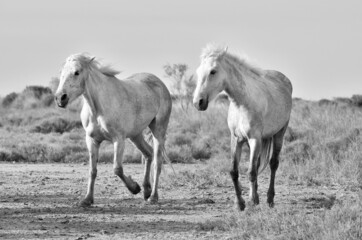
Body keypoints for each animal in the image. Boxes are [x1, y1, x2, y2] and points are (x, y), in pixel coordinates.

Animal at [55, 54, 173, 206]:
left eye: (77, 72)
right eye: (61, 72)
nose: (60, 98)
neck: (98, 108)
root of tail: (160, 84)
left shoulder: (119, 139)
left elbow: (117, 168)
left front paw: (134, 188)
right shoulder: (92, 140)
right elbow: (92, 170)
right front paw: (87, 200)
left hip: (158, 130)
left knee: (157, 162)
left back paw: (153, 196)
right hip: (135, 135)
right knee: (148, 154)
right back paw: (146, 190)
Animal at [194, 44, 292, 210]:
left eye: (213, 71)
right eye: (198, 71)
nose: (198, 102)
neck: (242, 103)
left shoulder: (254, 139)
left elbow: (251, 172)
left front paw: (251, 201)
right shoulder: (236, 139)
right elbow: (234, 171)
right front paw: (240, 203)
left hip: (279, 133)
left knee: (273, 164)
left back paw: (269, 199)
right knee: (258, 164)